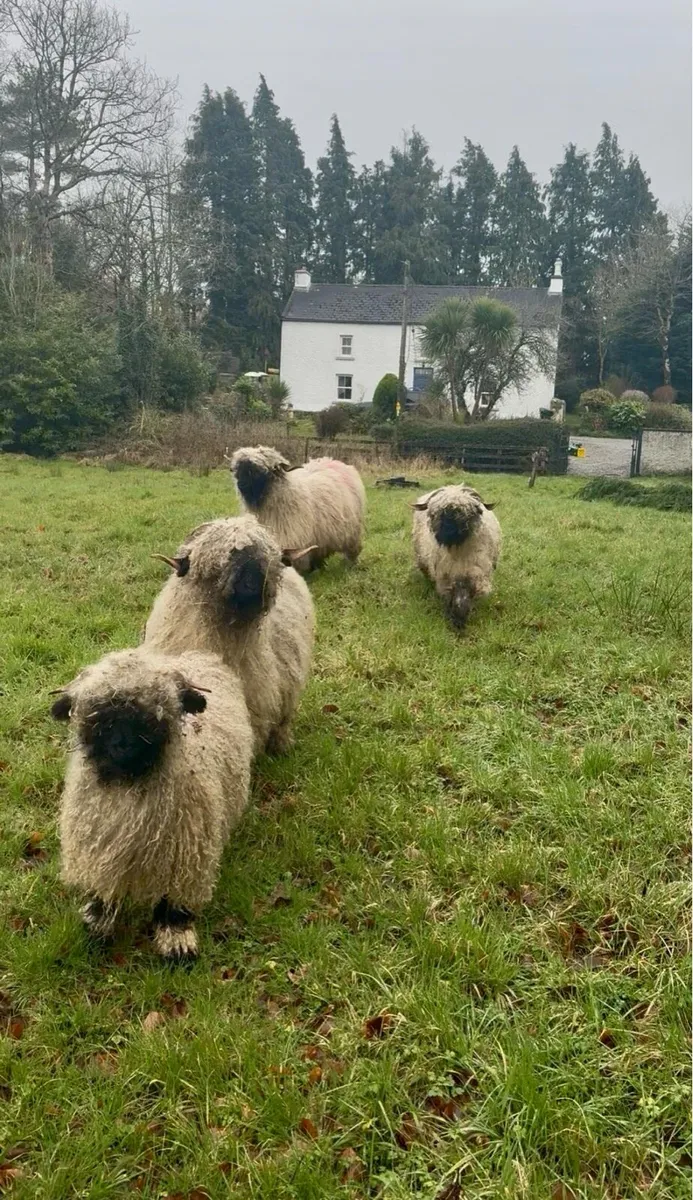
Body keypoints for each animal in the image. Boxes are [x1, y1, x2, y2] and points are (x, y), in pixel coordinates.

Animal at [50, 647, 254, 960]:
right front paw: (97, 923)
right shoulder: (99, 847)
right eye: (98, 717)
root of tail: (199, 654)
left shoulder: (186, 855)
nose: (123, 745)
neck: (128, 785)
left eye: (153, 716)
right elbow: (103, 891)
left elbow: (176, 904)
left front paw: (177, 941)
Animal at [228, 445, 366, 572]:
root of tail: (332, 460)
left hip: (352, 531)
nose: (241, 485)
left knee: (352, 549)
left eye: (258, 471)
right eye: (237, 471)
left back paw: (351, 565)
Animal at [412, 484, 501, 629]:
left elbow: (463, 600)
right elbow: (454, 599)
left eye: (467, 513)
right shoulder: (447, 576)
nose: (449, 530)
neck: (457, 550)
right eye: (436, 513)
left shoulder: (473, 574)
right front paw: (456, 621)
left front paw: (461, 620)